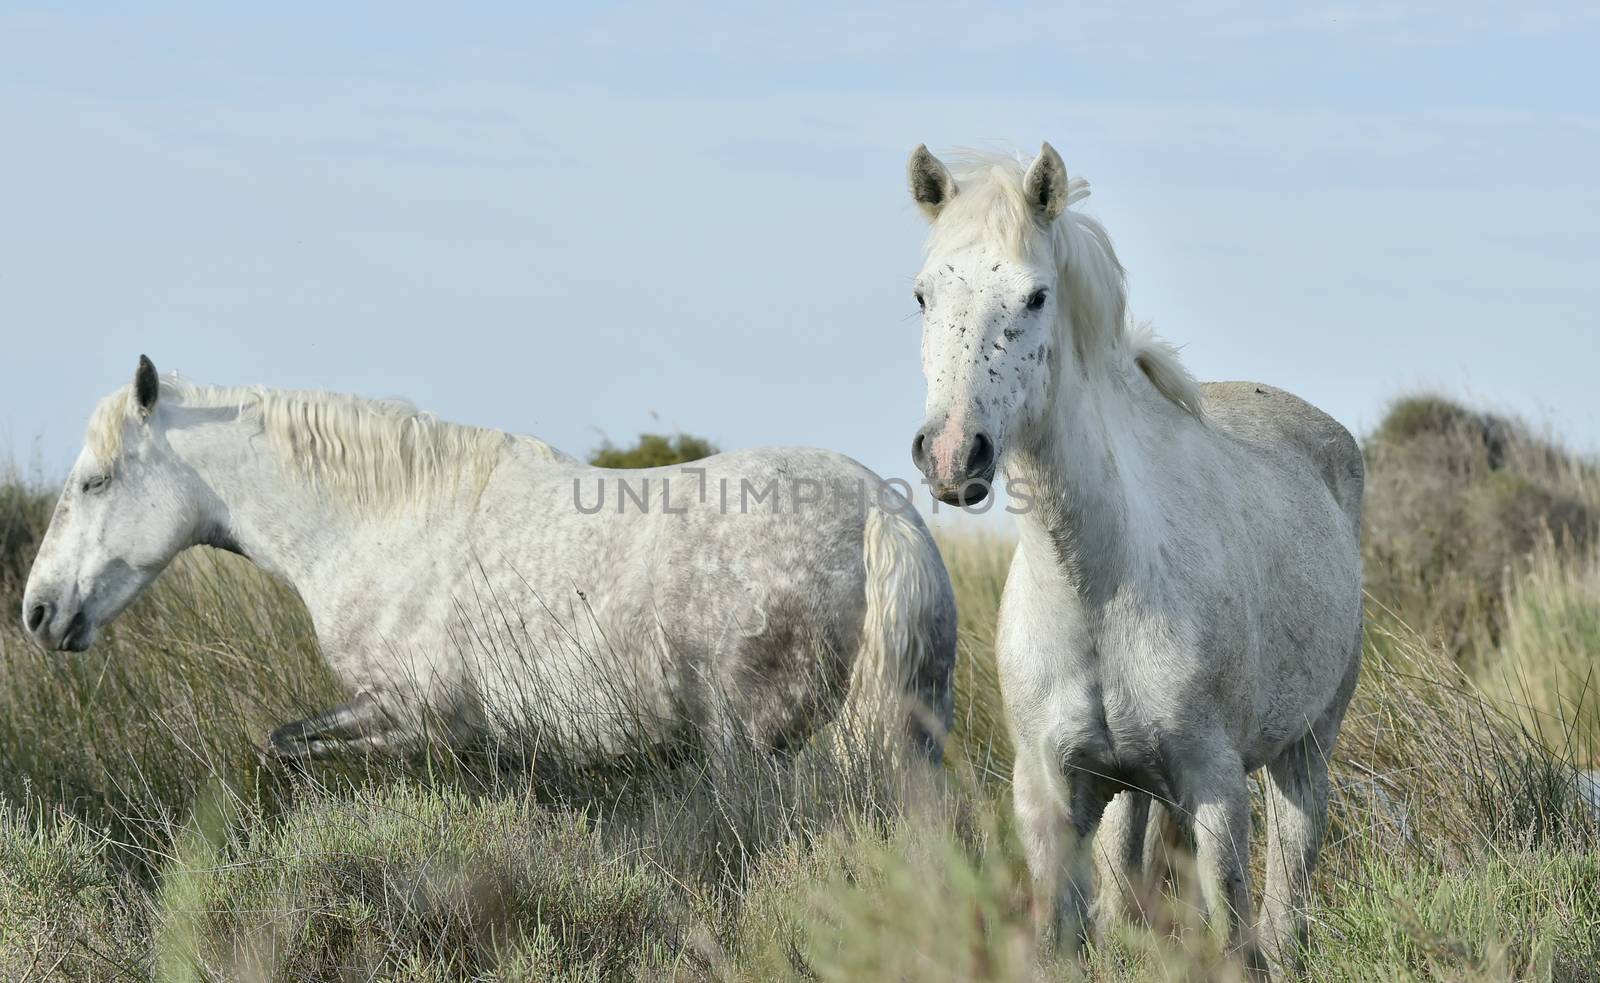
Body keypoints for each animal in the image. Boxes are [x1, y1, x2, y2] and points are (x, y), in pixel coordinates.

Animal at [21, 360, 947, 771]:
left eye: (94, 480)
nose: (37, 611)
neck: (379, 522)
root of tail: (882, 508)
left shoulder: (413, 714)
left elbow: (288, 746)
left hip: (745, 746)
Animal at [908, 142, 1356, 973]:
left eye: (1036, 297)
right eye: (923, 294)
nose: (952, 455)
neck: (1101, 582)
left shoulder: (1216, 788)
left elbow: (1236, 936)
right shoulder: (1049, 793)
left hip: (1307, 751)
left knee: (1287, 899)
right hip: (1129, 790)